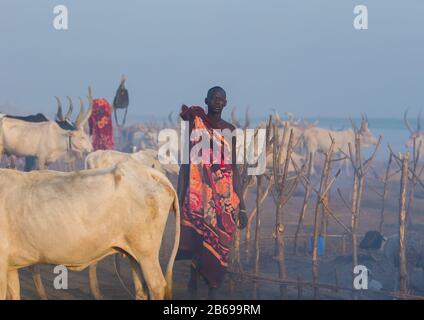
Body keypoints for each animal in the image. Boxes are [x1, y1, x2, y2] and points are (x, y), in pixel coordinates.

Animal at [0, 160, 181, 300]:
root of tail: (147, 171)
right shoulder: (10, 267)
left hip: (146, 253)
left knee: (157, 286)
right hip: (134, 255)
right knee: (142, 290)